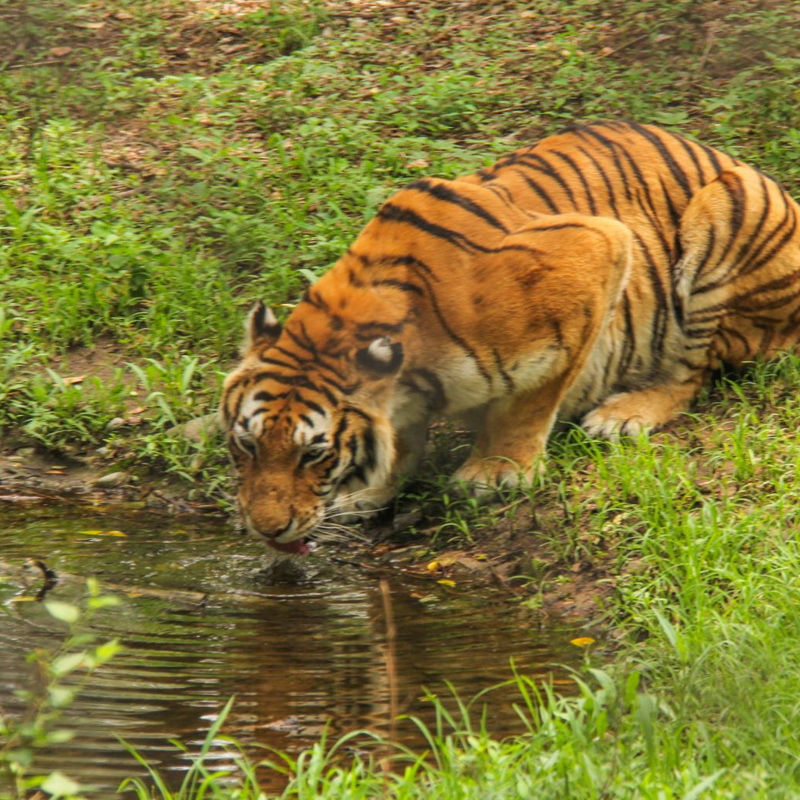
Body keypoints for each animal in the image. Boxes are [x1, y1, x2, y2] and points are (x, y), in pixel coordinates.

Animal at [219, 122, 800, 552]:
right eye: (246, 443)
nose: (266, 529)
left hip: (725, 214)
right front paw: (376, 487)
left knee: (693, 372)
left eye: (313, 454)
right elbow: (402, 437)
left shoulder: (597, 249)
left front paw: (497, 472)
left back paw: (624, 414)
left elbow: (531, 399)